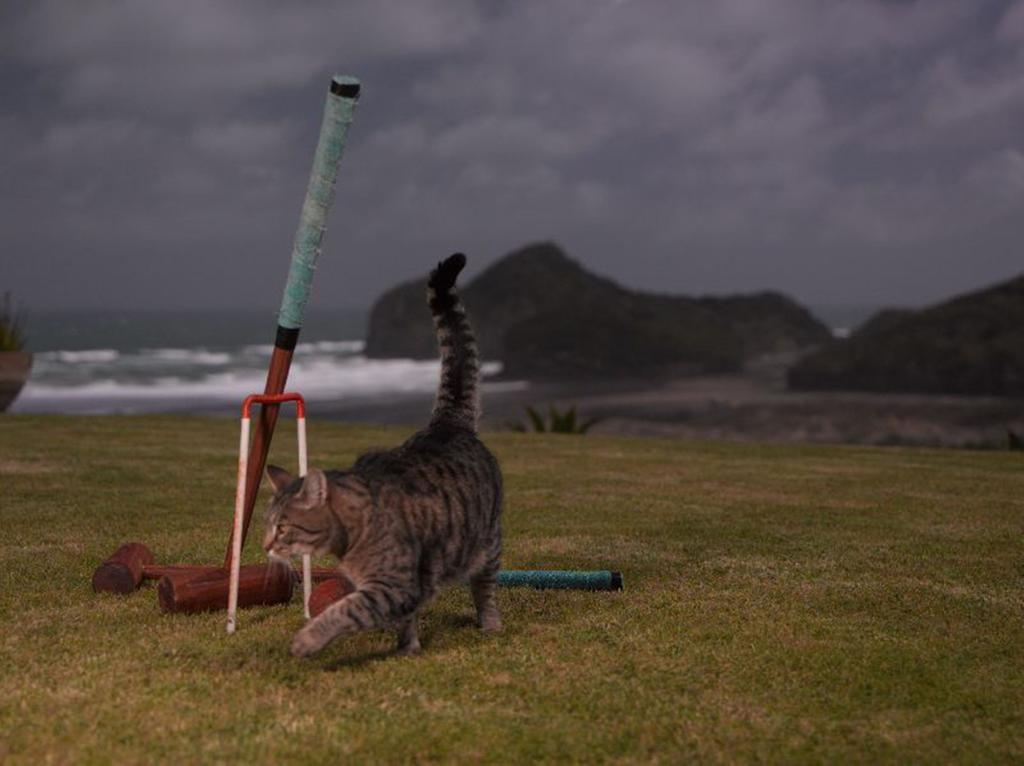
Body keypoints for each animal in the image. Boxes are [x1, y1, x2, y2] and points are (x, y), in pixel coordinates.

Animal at [264, 252, 503, 659]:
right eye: (265, 523)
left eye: (282, 527)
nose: (265, 546)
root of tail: (449, 422)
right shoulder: (406, 587)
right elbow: (405, 617)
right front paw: (407, 648)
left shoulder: (391, 586)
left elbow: (344, 610)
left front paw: (306, 640)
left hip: (488, 542)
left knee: (484, 586)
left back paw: (491, 624)